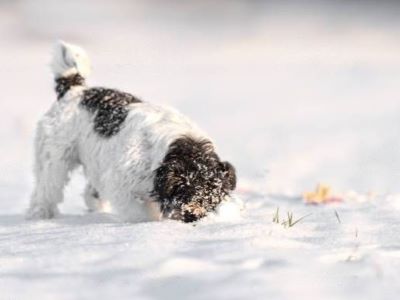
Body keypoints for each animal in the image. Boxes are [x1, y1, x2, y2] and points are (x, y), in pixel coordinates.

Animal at [27, 40, 238, 223]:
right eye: (184, 190)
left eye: (212, 198)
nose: (193, 217)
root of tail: (74, 90)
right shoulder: (120, 184)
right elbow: (138, 213)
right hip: (54, 159)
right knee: (46, 190)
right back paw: (40, 215)